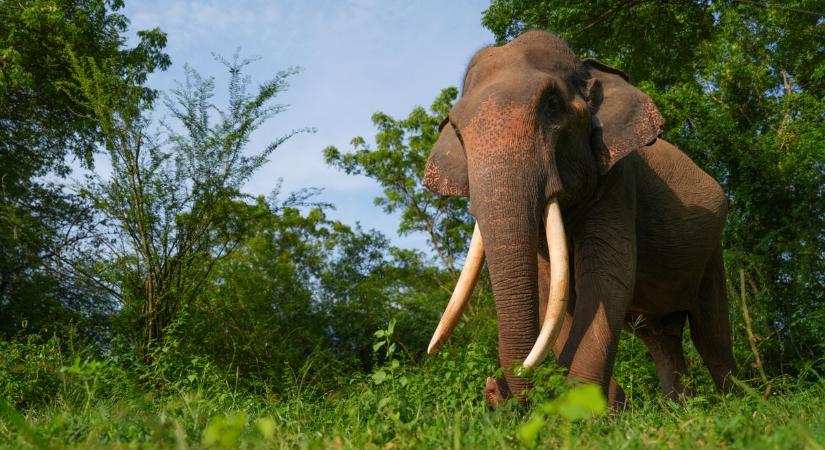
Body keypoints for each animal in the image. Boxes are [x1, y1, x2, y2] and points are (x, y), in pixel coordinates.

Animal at [424, 29, 732, 408]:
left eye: (552, 105)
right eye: (456, 130)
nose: (494, 387)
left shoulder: (617, 182)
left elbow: (605, 277)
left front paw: (584, 409)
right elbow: (550, 296)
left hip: (712, 254)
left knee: (712, 337)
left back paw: (740, 401)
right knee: (661, 337)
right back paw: (678, 408)